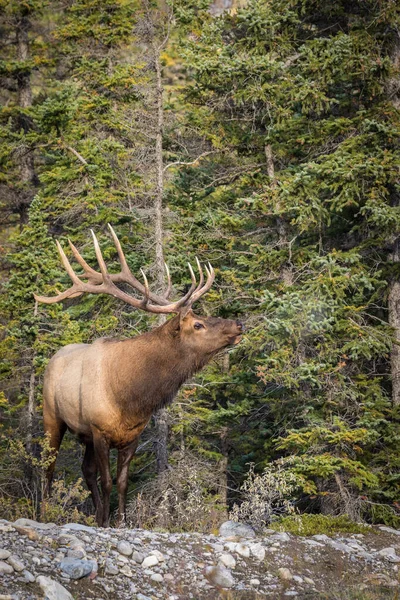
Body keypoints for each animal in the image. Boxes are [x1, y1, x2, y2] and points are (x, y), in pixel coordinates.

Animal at [34, 227, 242, 528]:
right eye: (197, 324)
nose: (238, 324)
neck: (132, 398)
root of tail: (54, 357)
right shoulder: (100, 431)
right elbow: (107, 482)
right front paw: (108, 522)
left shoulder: (131, 436)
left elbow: (122, 483)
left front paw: (117, 521)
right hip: (52, 417)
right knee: (48, 469)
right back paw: (45, 513)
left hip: (84, 435)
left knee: (85, 471)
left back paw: (96, 514)